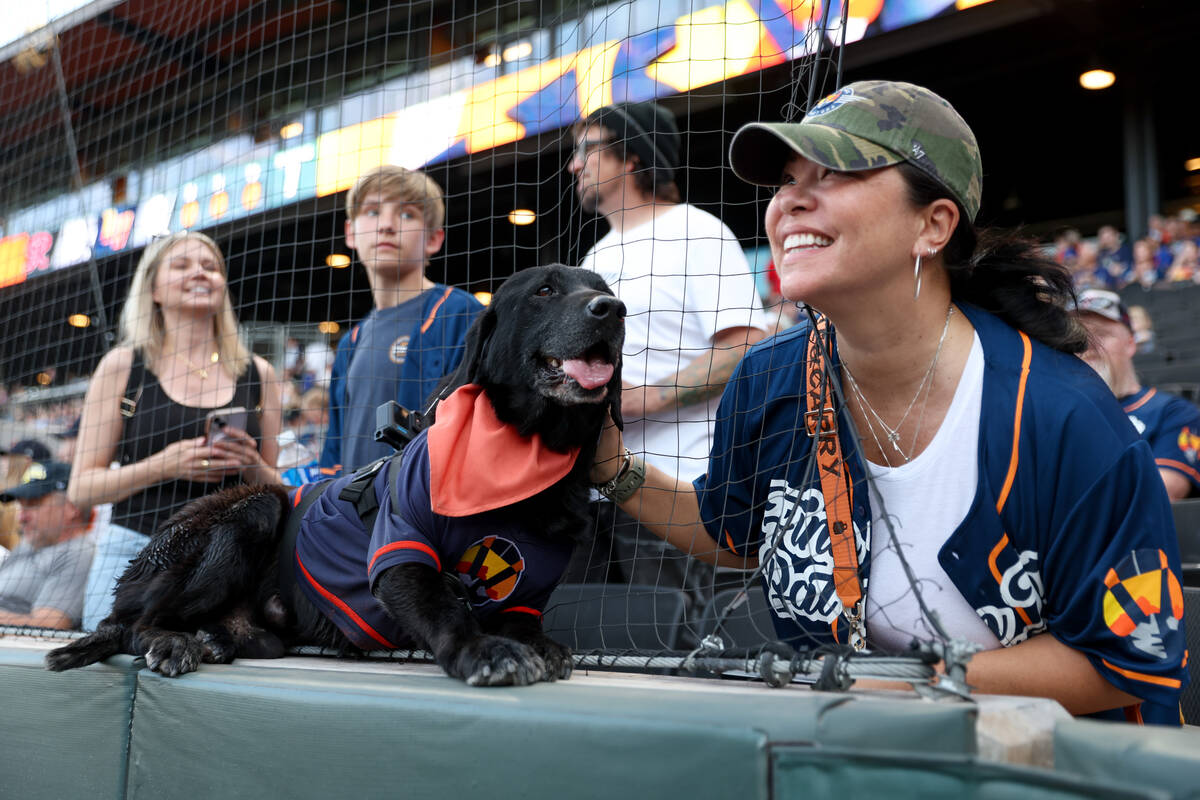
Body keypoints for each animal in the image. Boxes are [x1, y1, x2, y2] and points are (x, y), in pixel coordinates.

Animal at [44, 267, 628, 690]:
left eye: (603, 290)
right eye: (545, 290)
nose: (613, 309)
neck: (523, 454)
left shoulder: (527, 593)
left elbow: (528, 623)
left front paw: (540, 646)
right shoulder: (400, 554)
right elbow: (444, 607)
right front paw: (482, 650)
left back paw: (210, 639)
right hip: (251, 510)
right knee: (134, 625)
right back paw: (171, 641)